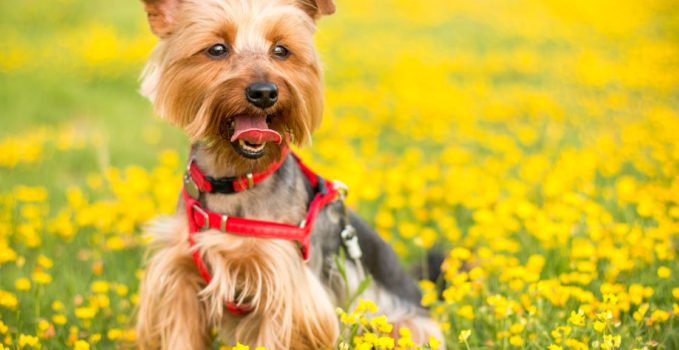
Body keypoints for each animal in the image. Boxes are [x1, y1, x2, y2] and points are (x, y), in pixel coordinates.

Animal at [135, 0, 444, 348]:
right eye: (216, 49)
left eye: (281, 50)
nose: (264, 92)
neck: (235, 180)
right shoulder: (179, 277)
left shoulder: (286, 286)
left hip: (401, 325)